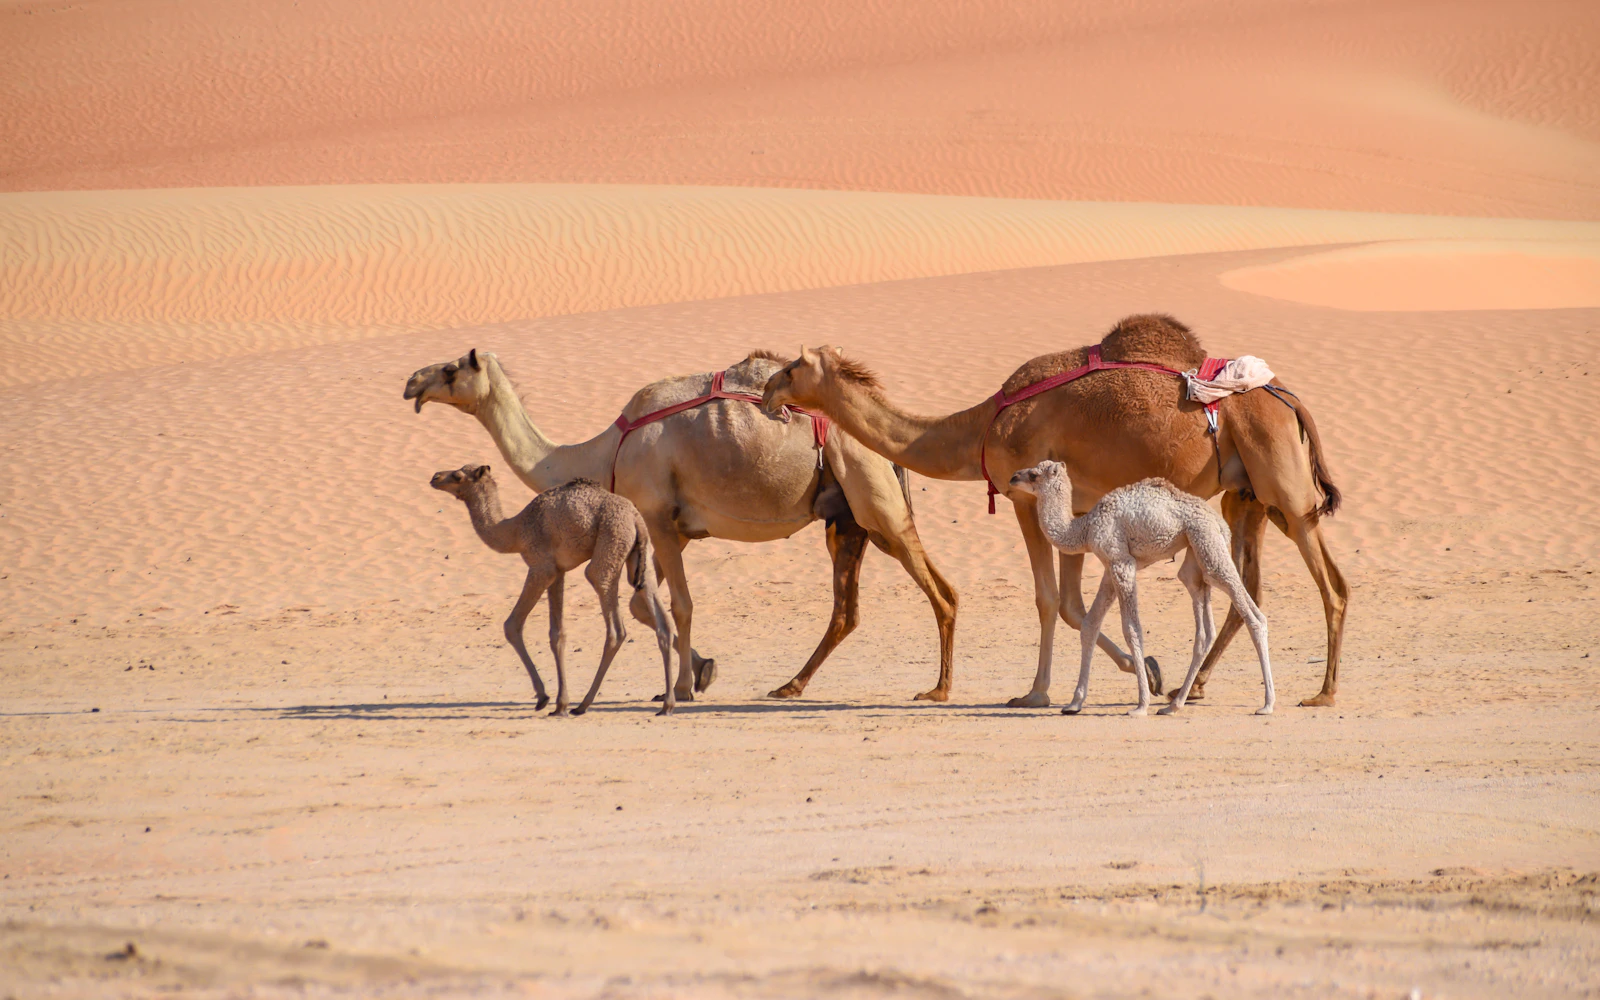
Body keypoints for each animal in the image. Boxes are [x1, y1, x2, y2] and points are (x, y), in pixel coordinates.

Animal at [431, 465, 677, 716]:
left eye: (459, 475)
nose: (435, 477)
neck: (515, 531)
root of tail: (635, 518)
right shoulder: (558, 571)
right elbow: (557, 634)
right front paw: (561, 704)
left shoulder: (541, 567)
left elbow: (512, 625)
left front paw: (544, 698)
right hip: (639, 557)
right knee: (662, 622)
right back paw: (666, 704)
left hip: (610, 542)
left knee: (614, 623)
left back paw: (584, 704)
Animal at [1009, 461, 1273, 716]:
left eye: (1034, 474)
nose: (1013, 477)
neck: (1085, 528)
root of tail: (1220, 523)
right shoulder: (1110, 568)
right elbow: (1090, 625)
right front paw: (1074, 703)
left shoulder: (1121, 563)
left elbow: (1132, 629)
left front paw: (1140, 705)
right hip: (1196, 555)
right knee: (1204, 628)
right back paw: (1172, 706)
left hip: (1208, 545)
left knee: (1252, 614)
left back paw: (1267, 704)